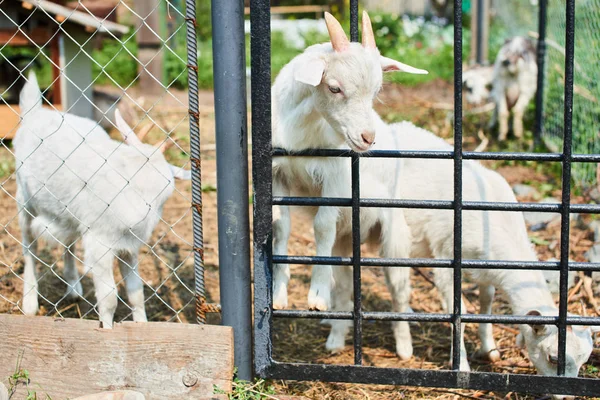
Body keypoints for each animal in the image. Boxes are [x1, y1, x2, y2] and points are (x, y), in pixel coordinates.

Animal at [15, 72, 190, 328]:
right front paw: (107, 330)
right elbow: (109, 298)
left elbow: (136, 293)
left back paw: (73, 289)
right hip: (24, 202)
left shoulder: (129, 246)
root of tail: (36, 113)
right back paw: (30, 303)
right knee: (29, 247)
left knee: (68, 241)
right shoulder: (100, 243)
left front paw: (142, 326)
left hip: (68, 215)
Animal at [270, 10, 596, 390]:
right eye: (334, 87)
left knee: (384, 288)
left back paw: (388, 342)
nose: (368, 137)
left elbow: (484, 307)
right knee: (357, 283)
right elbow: (282, 226)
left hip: (380, 236)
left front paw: (489, 350)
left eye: (585, 360)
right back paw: (345, 335)